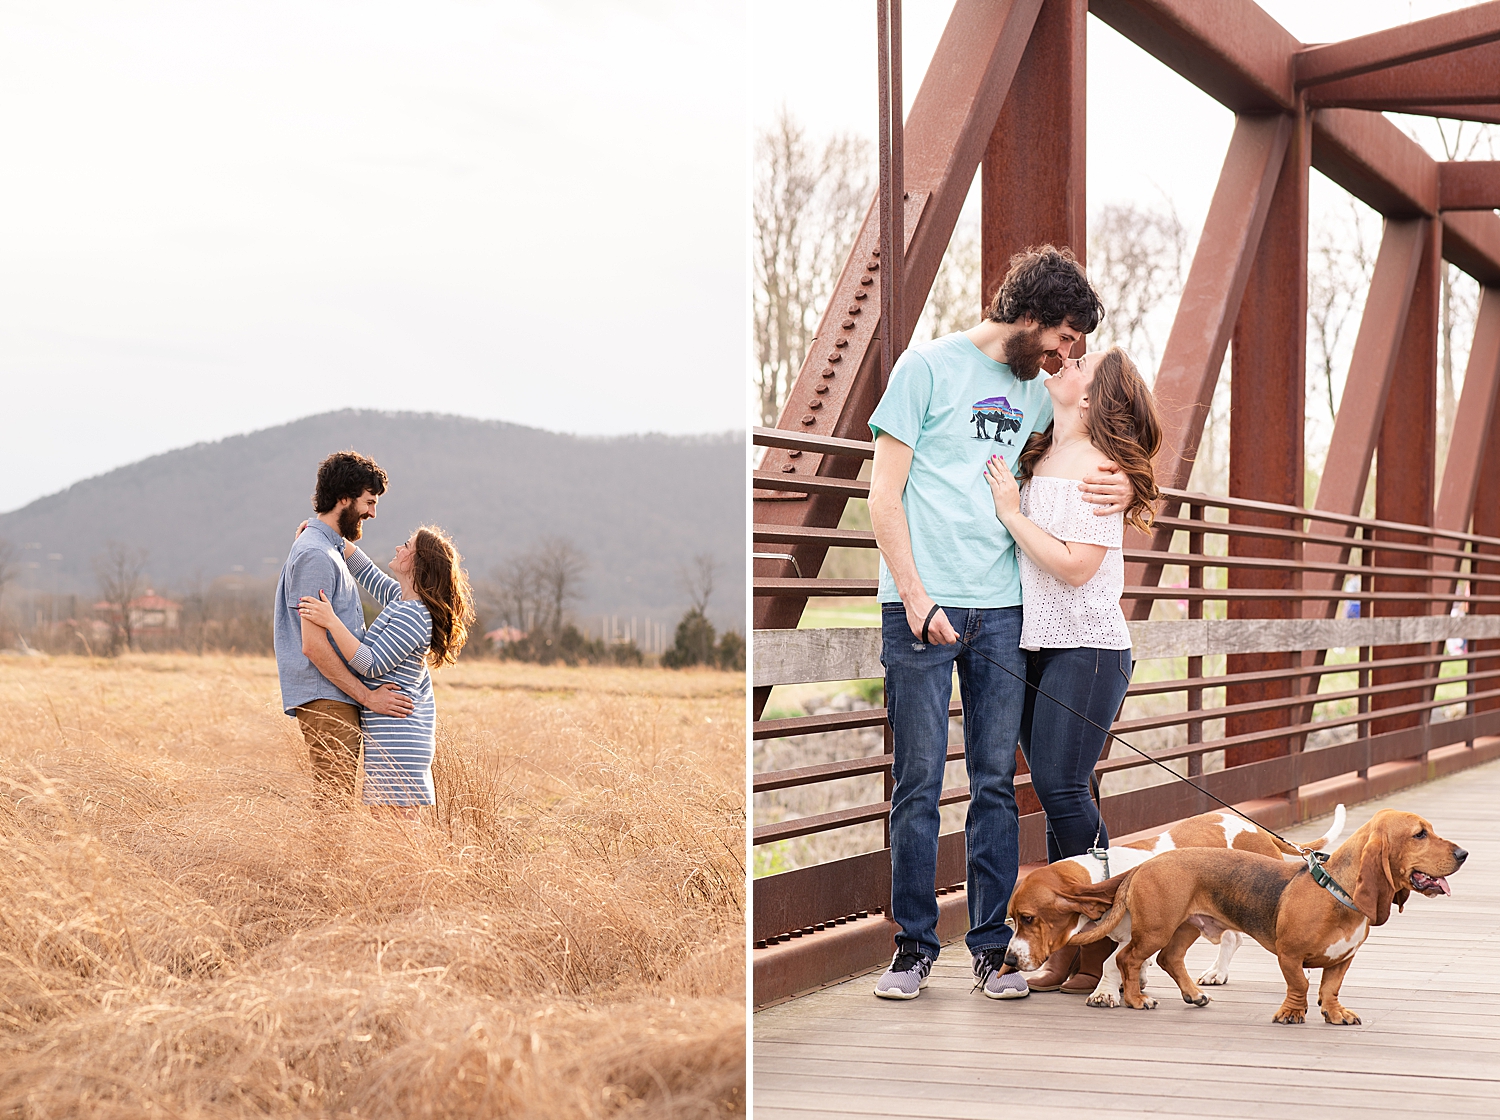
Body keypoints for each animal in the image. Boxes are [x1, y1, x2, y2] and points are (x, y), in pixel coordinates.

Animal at [1008, 803, 1350, 1007]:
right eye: (1011, 920)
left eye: (1028, 918)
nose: (1009, 959)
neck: (1101, 873)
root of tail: (1254, 828)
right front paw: (1130, 984)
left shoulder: (1139, 935)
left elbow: (1111, 961)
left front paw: (1105, 991)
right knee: (1231, 937)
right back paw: (1216, 972)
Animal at [1074, 803, 1470, 1025]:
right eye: (1419, 834)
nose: (1464, 854)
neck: (1335, 890)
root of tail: (1145, 864)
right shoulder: (1289, 955)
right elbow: (1301, 985)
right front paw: (1292, 1013)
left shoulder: (1342, 959)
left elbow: (1330, 988)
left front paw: (1335, 1013)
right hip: (1157, 929)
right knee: (1126, 959)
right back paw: (1136, 999)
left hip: (1187, 927)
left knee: (1169, 959)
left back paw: (1193, 995)